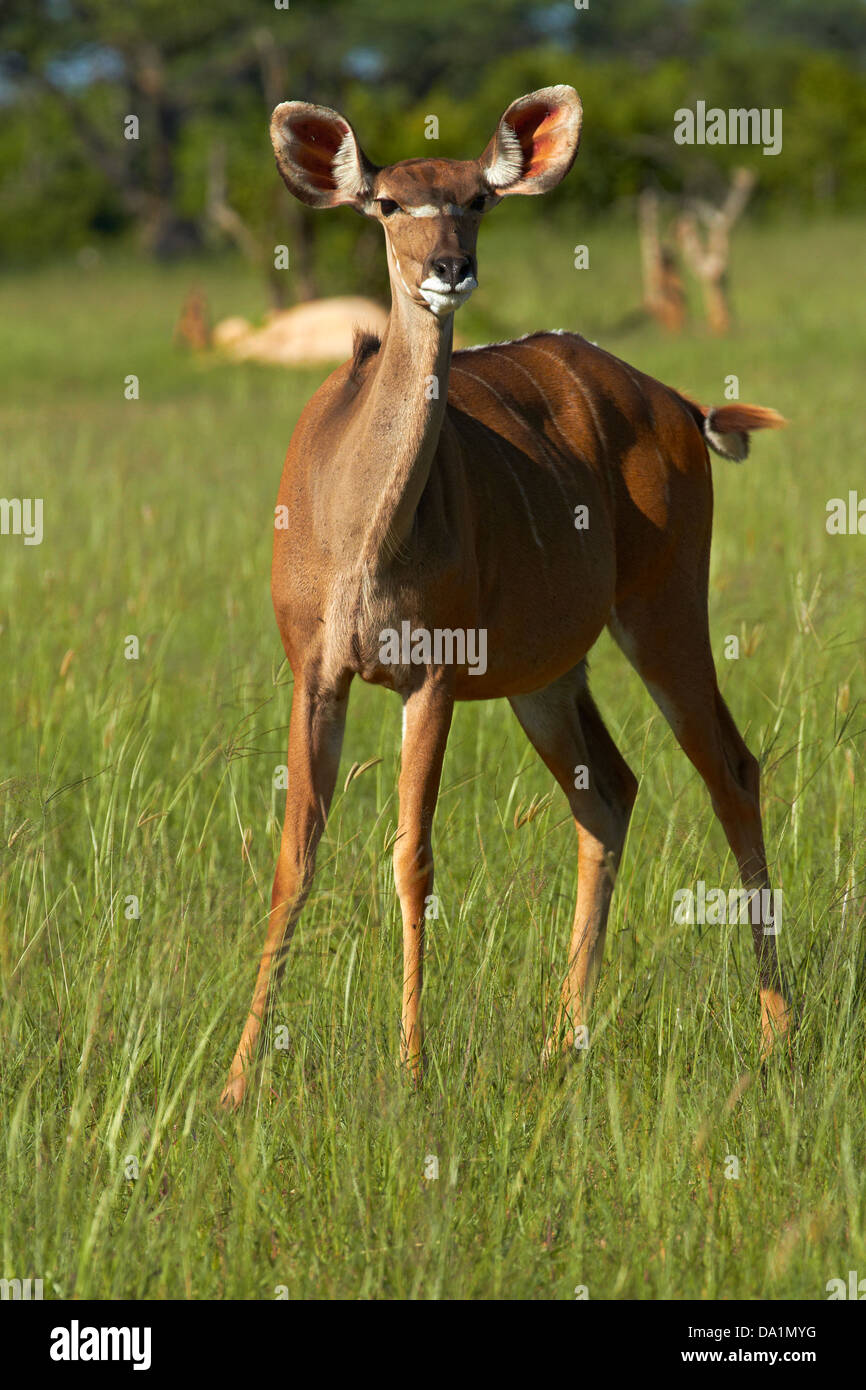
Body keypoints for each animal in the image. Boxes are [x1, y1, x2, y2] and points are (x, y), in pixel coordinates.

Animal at [219, 84, 789, 1106]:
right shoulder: (315, 669)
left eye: (477, 199)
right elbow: (296, 855)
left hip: (664, 607)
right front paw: (237, 1083)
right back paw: (566, 1040)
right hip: (550, 674)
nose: (449, 268)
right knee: (610, 790)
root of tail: (684, 408)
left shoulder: (434, 673)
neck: (361, 536)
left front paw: (411, 1067)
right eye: (387, 203)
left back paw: (775, 1036)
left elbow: (412, 855)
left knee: (729, 767)